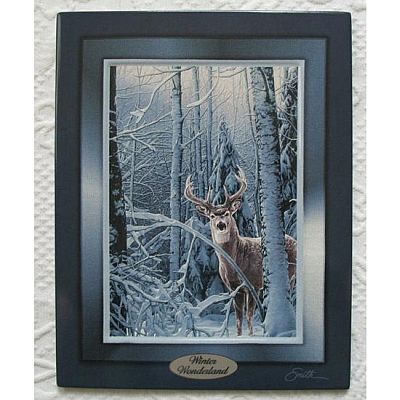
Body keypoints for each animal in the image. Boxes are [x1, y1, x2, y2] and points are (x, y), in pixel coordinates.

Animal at [184, 167, 297, 336]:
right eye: (212, 216)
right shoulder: (234, 288)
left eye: (227, 213)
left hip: (291, 275)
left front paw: (251, 335)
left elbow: (249, 316)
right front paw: (239, 335)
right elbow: (238, 318)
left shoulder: (254, 284)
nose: (221, 225)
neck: (236, 262)